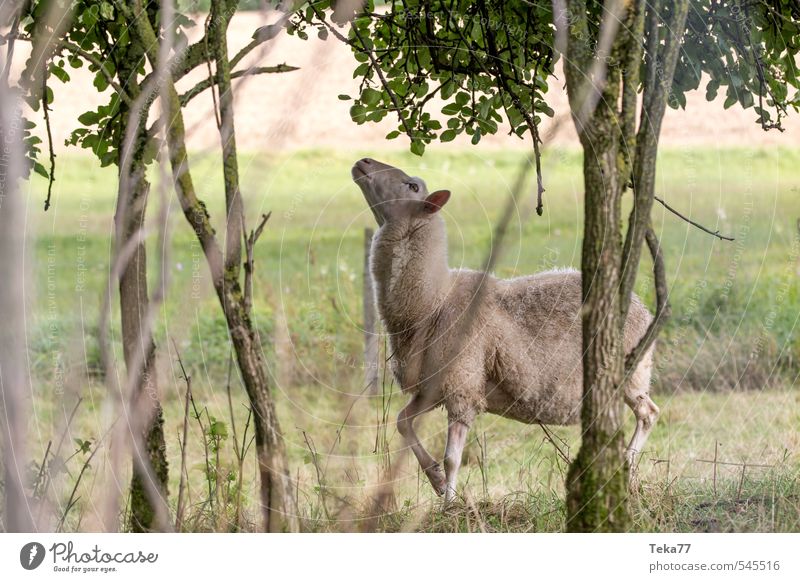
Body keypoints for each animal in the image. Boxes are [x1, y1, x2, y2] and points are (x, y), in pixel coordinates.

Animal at [350, 159, 656, 502]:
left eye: (412, 186)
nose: (363, 162)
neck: (435, 299)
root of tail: (640, 304)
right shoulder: (434, 386)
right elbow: (403, 422)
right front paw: (436, 479)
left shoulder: (462, 384)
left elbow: (452, 457)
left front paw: (449, 503)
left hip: (631, 373)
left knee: (649, 414)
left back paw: (627, 468)